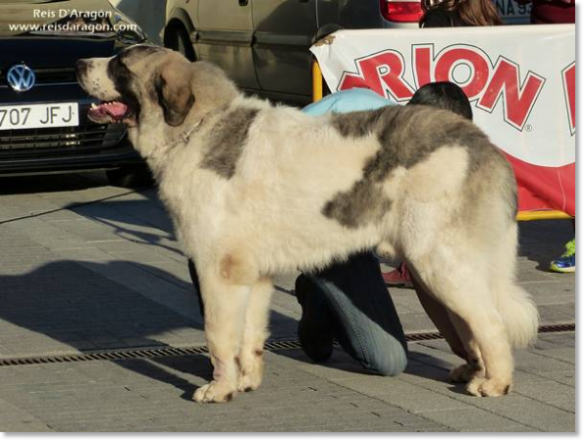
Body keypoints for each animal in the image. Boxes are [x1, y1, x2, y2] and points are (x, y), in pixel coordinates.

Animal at [76, 45, 540, 406]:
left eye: (120, 65)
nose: (79, 62)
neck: (196, 128)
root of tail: (481, 143)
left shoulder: (218, 270)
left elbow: (218, 335)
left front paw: (219, 388)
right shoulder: (252, 273)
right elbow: (249, 334)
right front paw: (247, 380)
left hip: (439, 260)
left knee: (490, 321)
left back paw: (495, 382)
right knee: (474, 319)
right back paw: (473, 370)